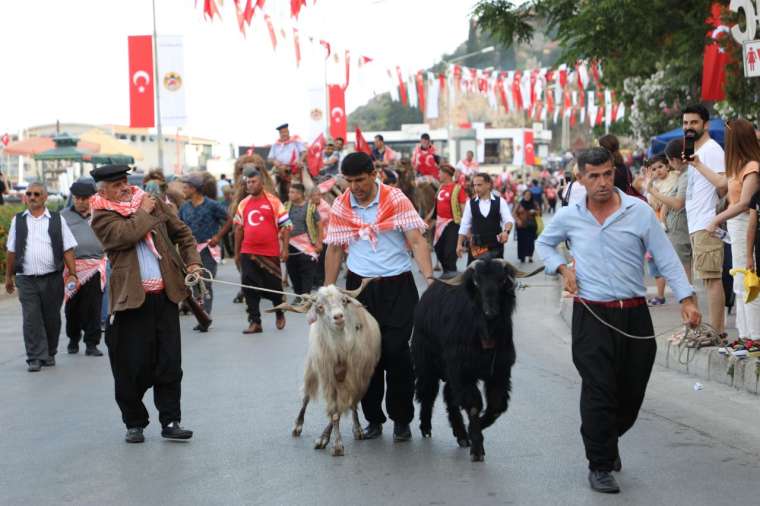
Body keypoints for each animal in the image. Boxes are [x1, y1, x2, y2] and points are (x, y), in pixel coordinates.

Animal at [272, 282, 380, 456]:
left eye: (344, 300)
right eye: (320, 307)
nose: (339, 317)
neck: (341, 352)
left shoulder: (358, 378)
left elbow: (342, 407)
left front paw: (331, 441)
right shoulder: (328, 377)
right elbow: (334, 411)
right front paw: (333, 444)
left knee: (351, 404)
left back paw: (357, 430)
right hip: (311, 365)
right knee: (306, 396)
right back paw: (297, 426)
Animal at [410, 258, 528, 460]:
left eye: (501, 280)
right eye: (477, 282)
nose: (490, 311)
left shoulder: (499, 372)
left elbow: (496, 407)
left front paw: (476, 429)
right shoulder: (462, 370)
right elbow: (473, 405)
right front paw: (477, 448)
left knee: (449, 396)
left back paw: (461, 435)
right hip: (427, 361)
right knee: (429, 392)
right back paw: (426, 427)